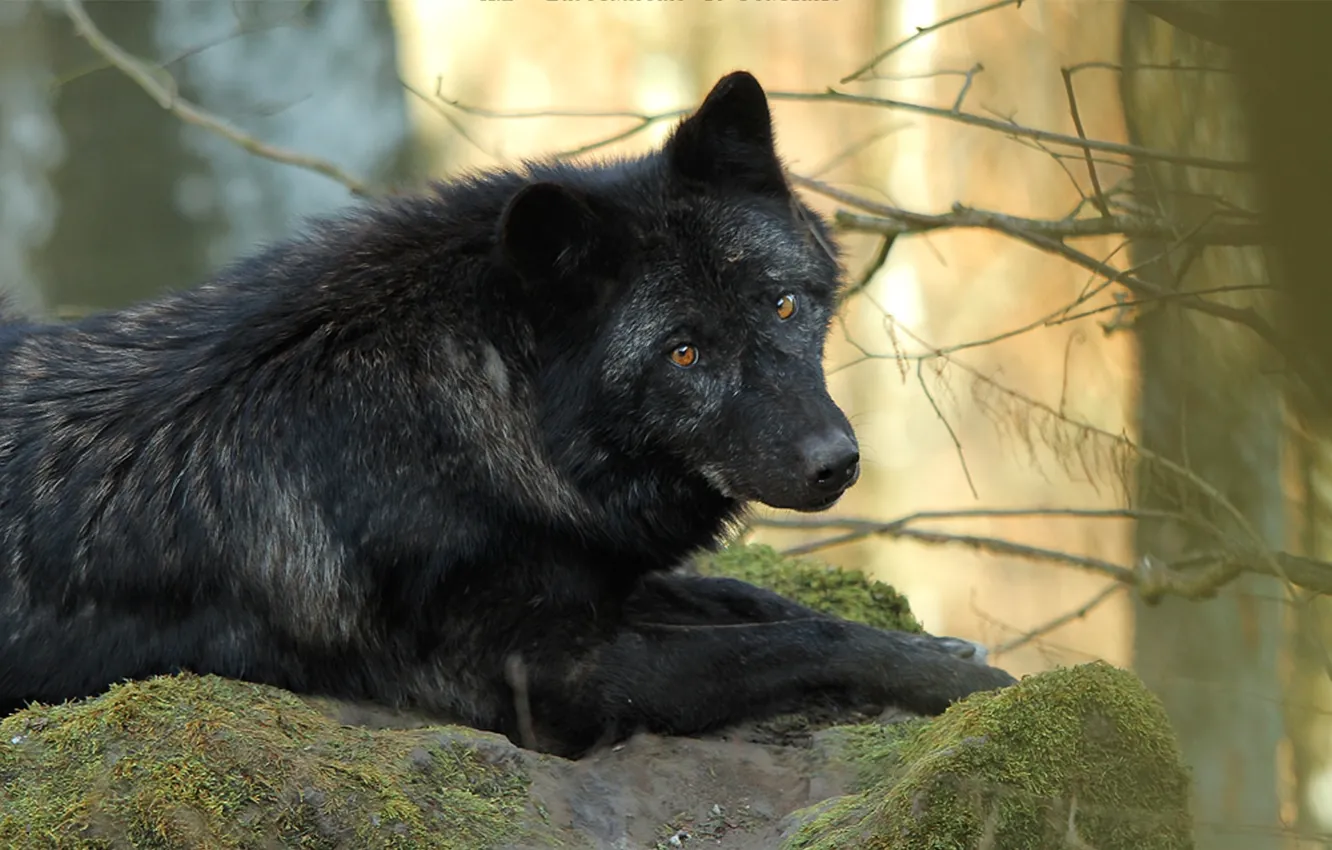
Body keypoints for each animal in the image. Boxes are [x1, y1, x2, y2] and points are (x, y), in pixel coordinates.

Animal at [0, 71, 1015, 758]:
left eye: (784, 306)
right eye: (683, 354)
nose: (835, 461)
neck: (459, 414)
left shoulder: (590, 574)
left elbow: (756, 599)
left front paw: (938, 643)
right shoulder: (551, 681)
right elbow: (797, 636)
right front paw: (960, 677)